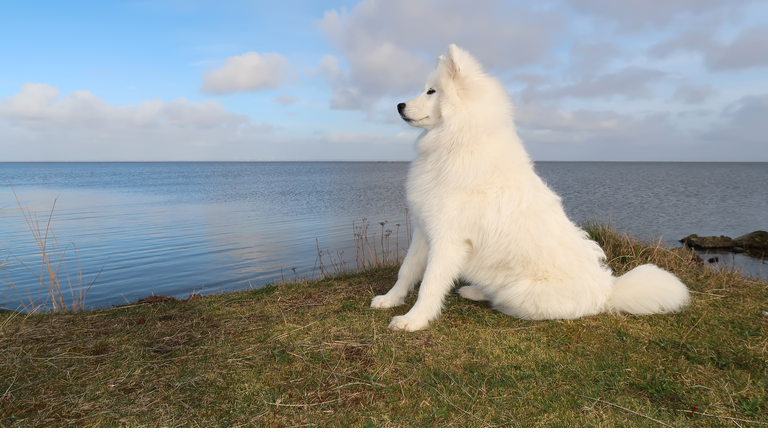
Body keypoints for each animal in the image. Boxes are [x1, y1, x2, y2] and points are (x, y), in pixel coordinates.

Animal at [372, 44, 688, 330]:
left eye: (431, 91)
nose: (399, 105)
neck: (458, 143)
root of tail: (607, 290)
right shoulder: (424, 229)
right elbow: (406, 271)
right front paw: (390, 300)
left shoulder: (448, 239)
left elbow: (430, 282)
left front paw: (413, 320)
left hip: (519, 292)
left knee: (505, 302)